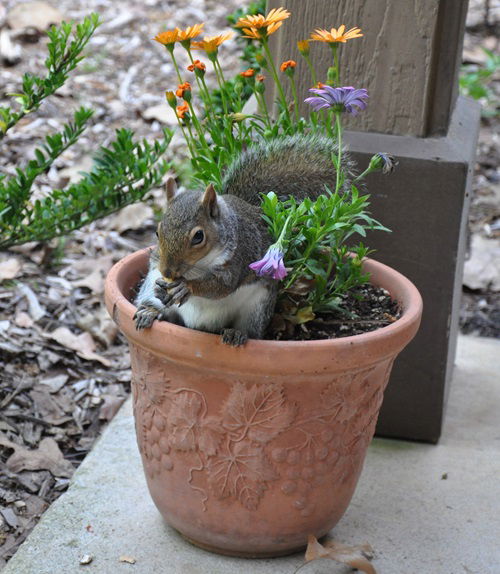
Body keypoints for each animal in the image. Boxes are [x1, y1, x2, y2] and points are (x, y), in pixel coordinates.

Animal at [135, 134, 350, 346]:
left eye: (198, 237)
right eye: (157, 232)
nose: (167, 272)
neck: (199, 265)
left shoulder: (238, 259)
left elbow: (221, 286)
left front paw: (186, 287)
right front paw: (162, 288)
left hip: (256, 308)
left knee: (250, 330)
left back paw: (236, 333)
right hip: (149, 290)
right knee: (159, 307)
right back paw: (149, 312)